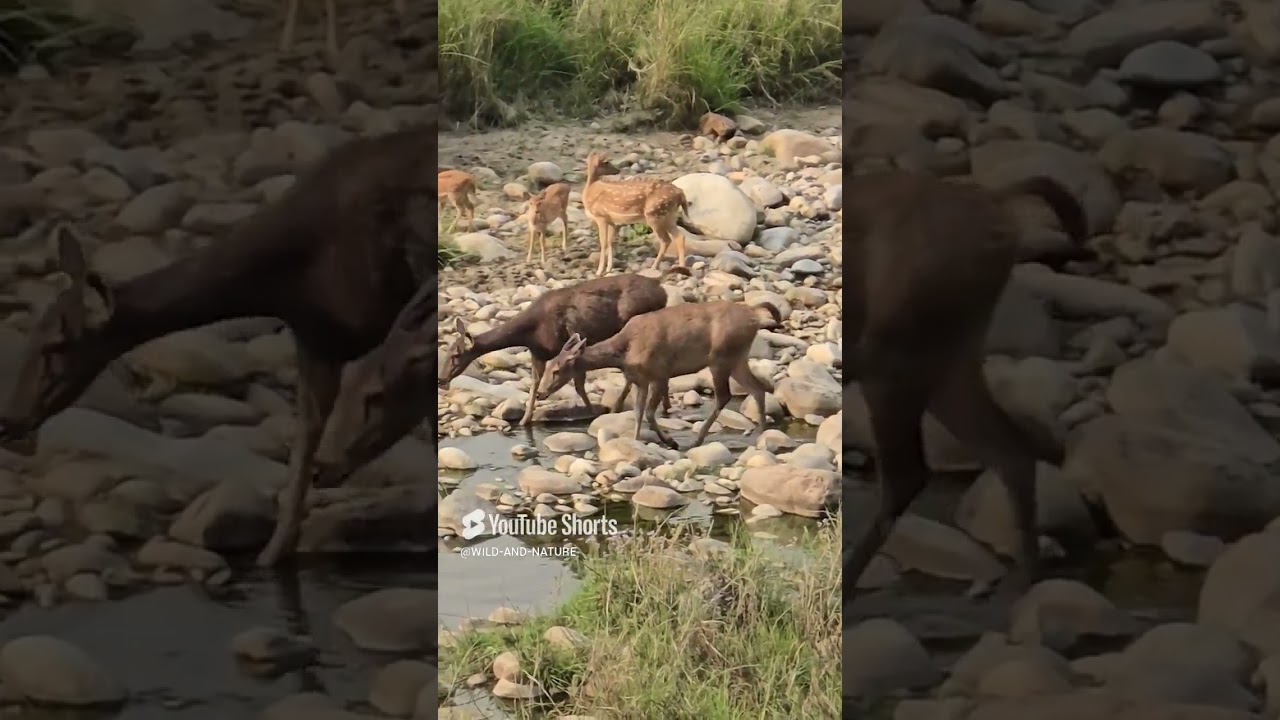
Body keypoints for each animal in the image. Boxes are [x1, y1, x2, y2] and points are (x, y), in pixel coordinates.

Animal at [0, 126, 437, 568]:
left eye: (57, 346)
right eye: (31, 335)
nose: (10, 420)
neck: (285, 284)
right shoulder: (317, 344)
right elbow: (302, 456)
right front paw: (271, 557)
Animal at [538, 300, 781, 451]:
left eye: (557, 370)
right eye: (548, 365)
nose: (540, 392)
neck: (624, 352)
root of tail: (754, 315)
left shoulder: (660, 374)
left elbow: (648, 413)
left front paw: (671, 442)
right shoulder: (641, 380)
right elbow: (637, 413)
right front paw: (635, 441)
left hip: (721, 358)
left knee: (724, 396)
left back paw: (697, 441)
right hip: (738, 357)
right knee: (757, 389)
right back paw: (761, 433)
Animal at [841, 169, 1089, 608]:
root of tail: (998, 204)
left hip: (897, 353)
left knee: (909, 474)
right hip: (949, 355)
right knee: (1010, 450)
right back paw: (1025, 581)